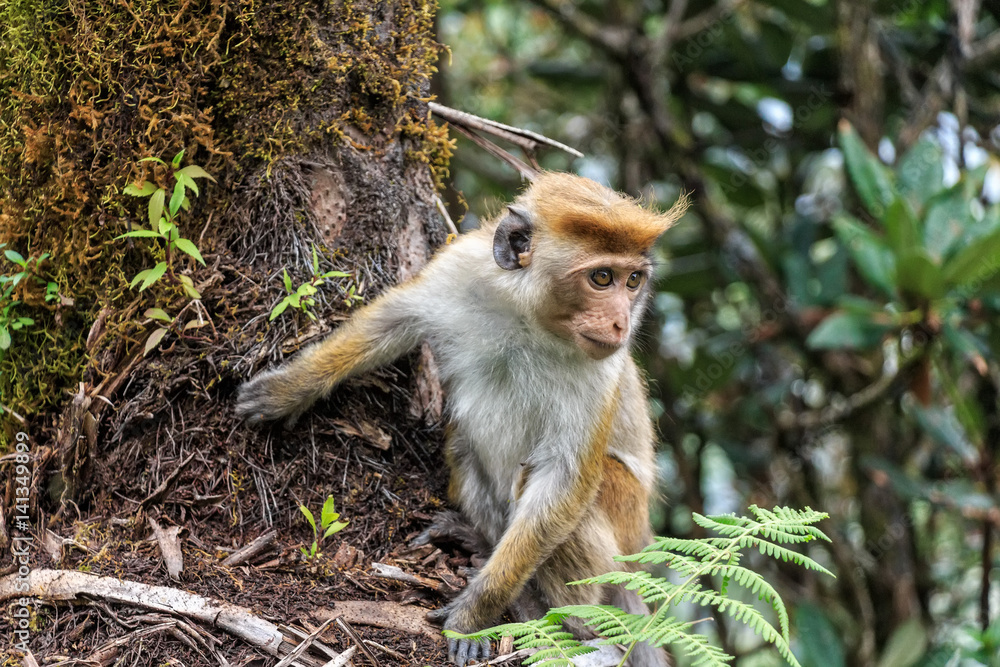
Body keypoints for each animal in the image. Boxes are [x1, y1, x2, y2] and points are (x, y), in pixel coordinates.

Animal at [236, 172, 689, 666]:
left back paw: (548, 609)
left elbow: (564, 479)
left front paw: (474, 613)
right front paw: (288, 389)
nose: (621, 323)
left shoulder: (601, 369)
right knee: (463, 441)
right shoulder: (461, 266)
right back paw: (481, 541)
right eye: (603, 277)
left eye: (634, 281)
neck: (530, 319)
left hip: (624, 521)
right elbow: (390, 321)